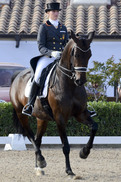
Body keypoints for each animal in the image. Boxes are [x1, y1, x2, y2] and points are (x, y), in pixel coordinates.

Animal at [9, 30, 98, 176]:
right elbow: (65, 146)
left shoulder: (81, 114)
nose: (80, 81)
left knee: (37, 139)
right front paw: (69, 170)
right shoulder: (60, 118)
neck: (70, 85)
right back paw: (41, 161)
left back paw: (38, 167)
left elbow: (94, 127)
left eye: (89, 55)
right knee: (30, 136)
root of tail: (17, 76)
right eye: (76, 54)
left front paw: (84, 152)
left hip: (41, 118)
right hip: (21, 114)